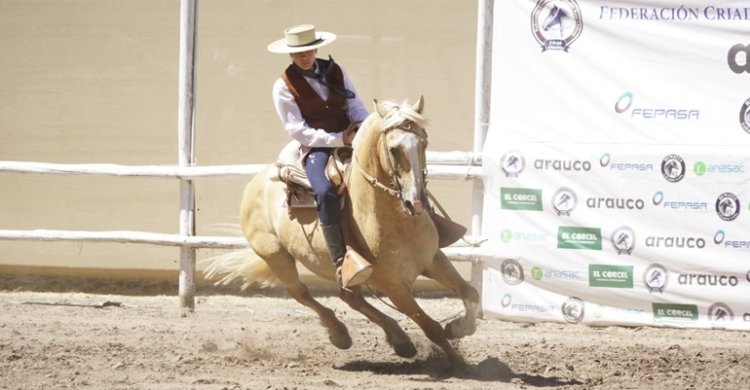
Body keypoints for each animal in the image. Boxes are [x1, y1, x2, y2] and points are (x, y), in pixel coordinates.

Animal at [209, 96, 478, 368]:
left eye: (424, 143)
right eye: (394, 149)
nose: (417, 203)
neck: (396, 223)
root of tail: (256, 182)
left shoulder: (433, 260)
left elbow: (471, 293)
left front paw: (459, 328)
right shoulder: (394, 287)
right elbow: (430, 326)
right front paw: (459, 363)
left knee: (349, 297)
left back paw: (399, 340)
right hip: (276, 256)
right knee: (300, 292)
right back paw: (340, 333)